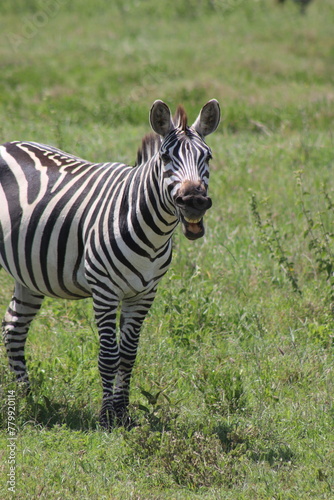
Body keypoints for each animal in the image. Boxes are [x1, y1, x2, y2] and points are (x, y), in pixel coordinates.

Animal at [1, 99, 220, 428]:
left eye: (207, 157)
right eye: (165, 157)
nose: (194, 201)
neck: (150, 229)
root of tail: (7, 144)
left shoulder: (144, 294)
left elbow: (128, 355)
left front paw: (124, 414)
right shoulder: (105, 291)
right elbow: (108, 354)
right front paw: (106, 417)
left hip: (29, 272)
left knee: (14, 328)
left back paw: (26, 399)